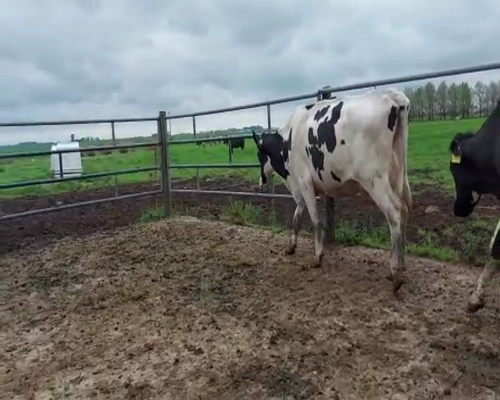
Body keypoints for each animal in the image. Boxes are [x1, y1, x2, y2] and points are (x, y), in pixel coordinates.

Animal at [252, 88, 412, 293]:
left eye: (259, 154)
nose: (261, 179)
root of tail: (392, 95)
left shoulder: (304, 182)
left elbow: (315, 220)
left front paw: (317, 256)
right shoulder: (302, 188)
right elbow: (297, 216)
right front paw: (291, 246)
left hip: (374, 179)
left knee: (394, 213)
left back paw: (395, 273)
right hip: (397, 174)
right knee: (404, 210)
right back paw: (402, 263)